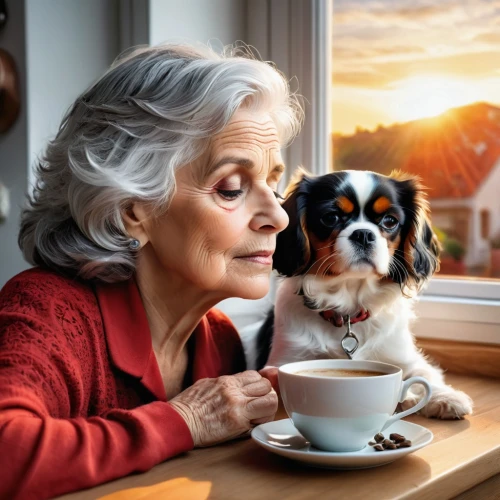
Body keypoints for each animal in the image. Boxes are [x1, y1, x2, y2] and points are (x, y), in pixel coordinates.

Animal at [258, 170, 472, 420]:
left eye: (389, 221)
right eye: (330, 217)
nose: (363, 234)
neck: (348, 312)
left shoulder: (402, 356)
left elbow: (423, 373)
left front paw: (446, 397)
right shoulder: (287, 359)